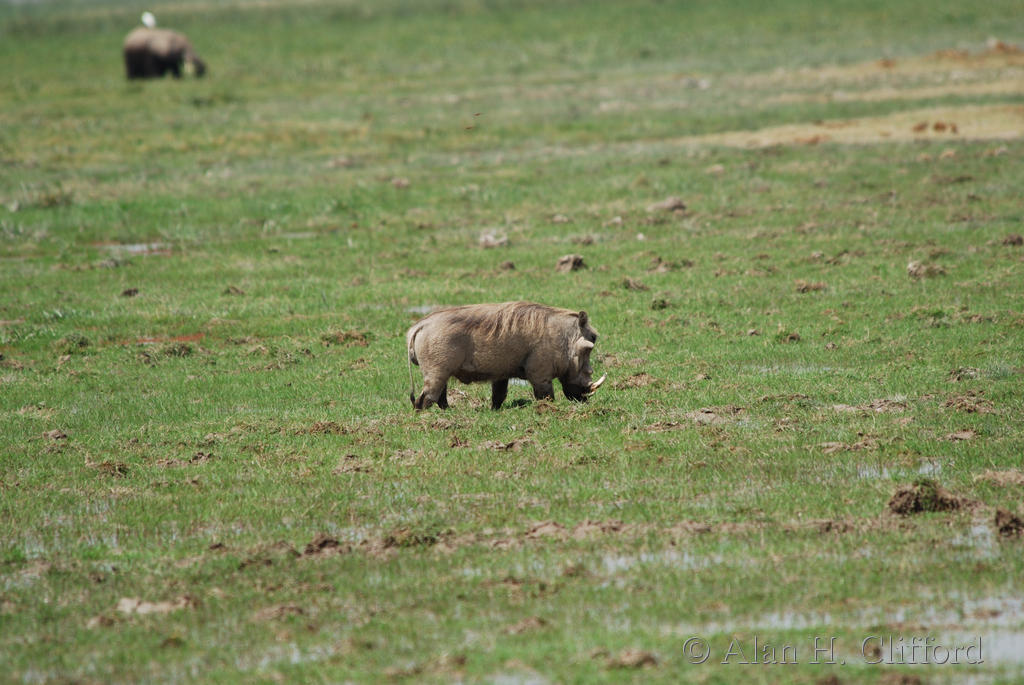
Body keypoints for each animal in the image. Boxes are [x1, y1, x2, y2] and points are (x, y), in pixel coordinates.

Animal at [406, 301, 606, 410]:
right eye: (588, 347)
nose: (585, 399)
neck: (563, 339)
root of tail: (419, 326)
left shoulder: (501, 375)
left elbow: (498, 396)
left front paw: (493, 412)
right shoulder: (540, 375)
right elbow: (546, 396)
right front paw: (548, 410)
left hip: (442, 374)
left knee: (440, 398)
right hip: (437, 372)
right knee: (425, 399)